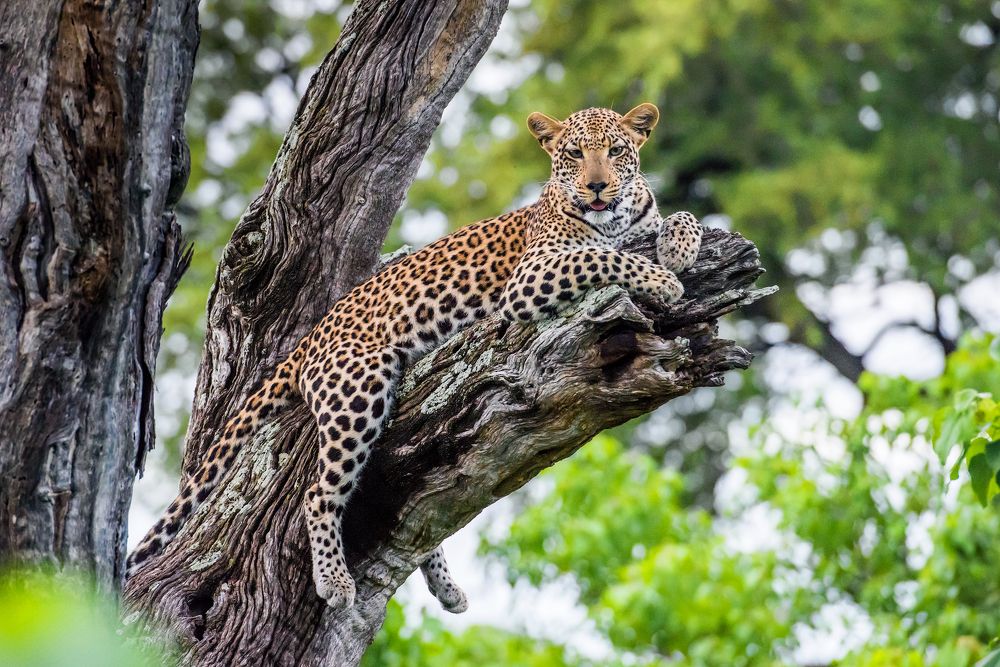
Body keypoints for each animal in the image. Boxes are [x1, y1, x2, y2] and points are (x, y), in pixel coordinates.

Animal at [126, 103, 704, 613]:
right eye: (574, 154)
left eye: (616, 151)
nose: (598, 186)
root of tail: (310, 338)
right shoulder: (531, 275)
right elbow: (601, 255)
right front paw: (663, 279)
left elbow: (681, 214)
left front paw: (677, 243)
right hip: (359, 385)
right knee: (320, 491)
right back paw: (334, 580)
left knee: (419, 516)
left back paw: (447, 588)